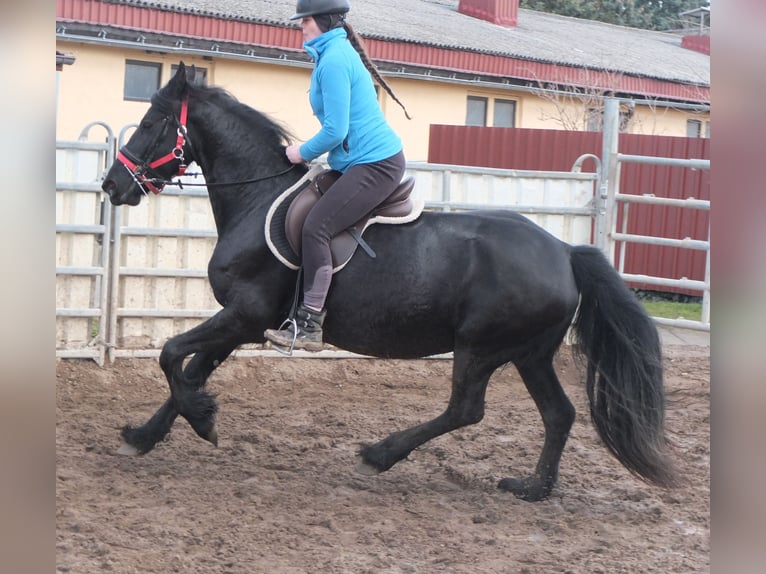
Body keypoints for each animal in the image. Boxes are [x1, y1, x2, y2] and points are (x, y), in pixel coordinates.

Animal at [99, 64, 676, 504]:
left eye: (150, 122)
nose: (112, 185)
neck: (257, 200)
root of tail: (565, 252)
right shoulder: (241, 324)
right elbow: (190, 370)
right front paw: (145, 435)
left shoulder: (244, 315)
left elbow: (172, 356)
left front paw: (201, 420)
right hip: (528, 354)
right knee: (558, 414)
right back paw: (532, 487)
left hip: (481, 347)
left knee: (466, 410)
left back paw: (379, 454)